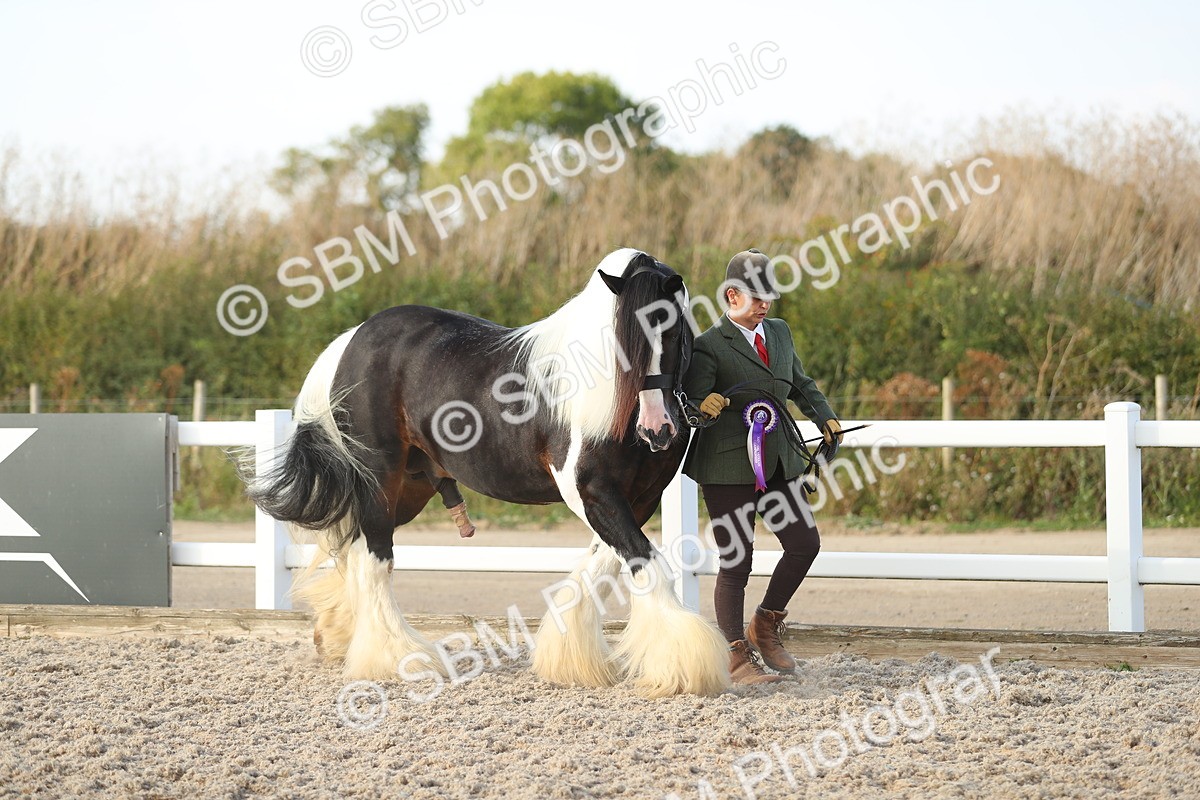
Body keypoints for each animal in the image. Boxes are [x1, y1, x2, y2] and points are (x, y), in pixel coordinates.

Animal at [244, 248, 730, 697]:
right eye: (623, 337)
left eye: (676, 333)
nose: (657, 429)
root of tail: (350, 340)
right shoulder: (591, 491)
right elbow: (646, 564)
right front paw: (686, 667)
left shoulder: (637, 499)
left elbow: (602, 567)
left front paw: (569, 660)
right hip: (380, 479)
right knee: (374, 559)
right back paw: (397, 658)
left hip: (408, 489)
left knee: (355, 549)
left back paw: (338, 637)